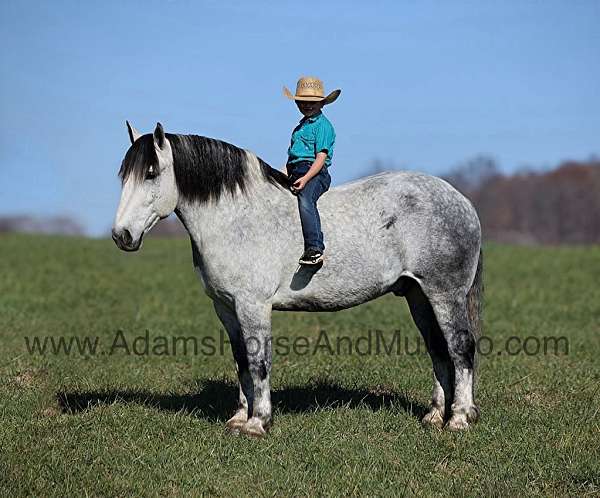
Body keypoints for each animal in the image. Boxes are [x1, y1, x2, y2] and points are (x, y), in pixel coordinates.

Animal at [113, 120, 482, 436]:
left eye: (150, 173)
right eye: (123, 175)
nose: (121, 236)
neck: (236, 218)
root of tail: (462, 201)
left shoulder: (253, 306)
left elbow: (259, 361)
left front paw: (258, 422)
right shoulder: (226, 308)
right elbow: (241, 361)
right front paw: (239, 418)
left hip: (445, 294)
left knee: (461, 348)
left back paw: (459, 418)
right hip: (419, 296)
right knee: (438, 350)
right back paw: (434, 415)